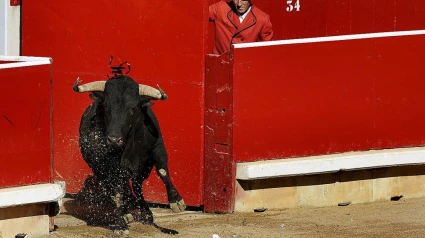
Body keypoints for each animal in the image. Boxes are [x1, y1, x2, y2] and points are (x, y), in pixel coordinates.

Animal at [72, 75, 184, 232]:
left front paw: (176, 201)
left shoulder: (158, 147)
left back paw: (146, 214)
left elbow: (163, 172)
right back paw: (127, 214)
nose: (114, 140)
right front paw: (120, 224)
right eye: (106, 106)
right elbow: (117, 195)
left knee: (137, 186)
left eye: (133, 108)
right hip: (102, 172)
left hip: (143, 169)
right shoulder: (108, 168)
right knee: (120, 190)